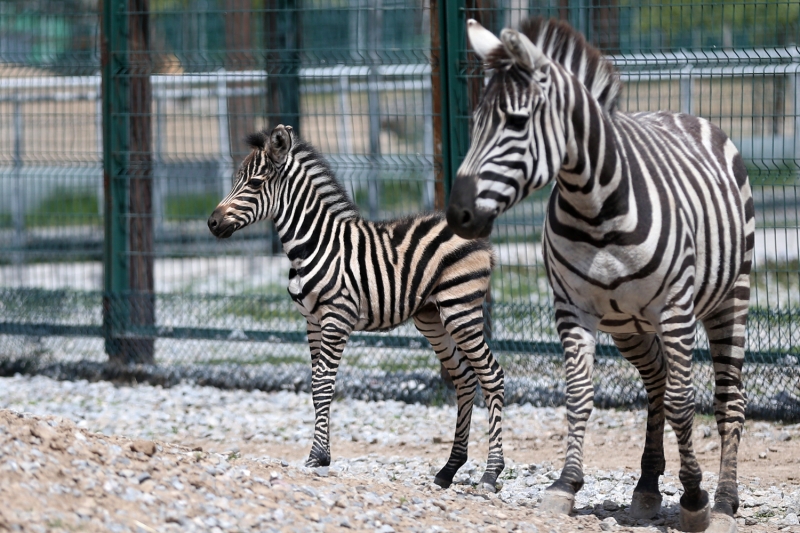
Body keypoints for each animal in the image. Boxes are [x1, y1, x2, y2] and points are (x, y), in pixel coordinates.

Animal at [208, 125, 506, 490]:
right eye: (238, 179)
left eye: (254, 183)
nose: (211, 223)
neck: (313, 243)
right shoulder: (312, 321)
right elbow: (315, 385)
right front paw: (321, 455)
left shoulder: (337, 317)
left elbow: (323, 383)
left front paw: (317, 457)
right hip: (432, 317)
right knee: (464, 379)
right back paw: (448, 469)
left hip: (460, 309)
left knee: (491, 375)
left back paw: (491, 473)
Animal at [446, 17, 754, 533]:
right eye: (475, 124)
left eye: (516, 122)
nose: (457, 215)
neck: (594, 205)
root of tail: (679, 114)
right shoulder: (572, 310)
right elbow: (579, 395)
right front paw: (565, 485)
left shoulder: (675, 310)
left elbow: (683, 402)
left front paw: (694, 498)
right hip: (627, 324)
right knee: (656, 382)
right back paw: (647, 487)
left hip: (731, 298)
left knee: (728, 400)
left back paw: (725, 503)